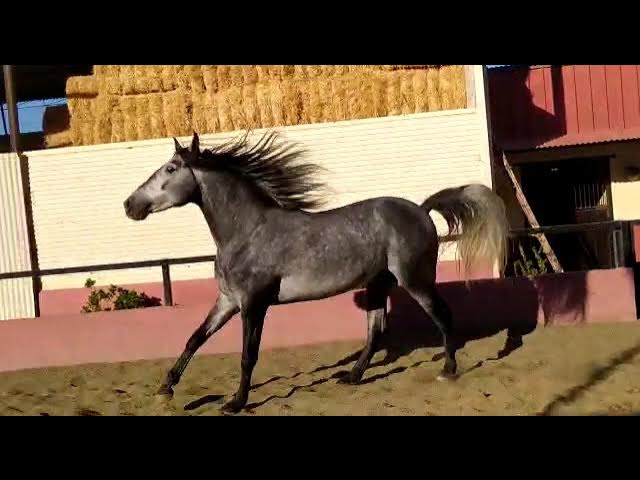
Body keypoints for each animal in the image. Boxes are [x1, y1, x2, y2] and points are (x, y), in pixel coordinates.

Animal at [123, 130, 509, 413]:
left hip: (415, 280)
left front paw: (235, 403)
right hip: (378, 284)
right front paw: (165, 388)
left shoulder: (254, 304)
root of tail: (421, 209)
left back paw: (448, 371)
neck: (248, 231)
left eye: (171, 168)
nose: (130, 205)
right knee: (376, 333)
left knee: (442, 316)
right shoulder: (228, 301)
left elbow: (248, 355)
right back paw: (351, 377)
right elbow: (195, 338)